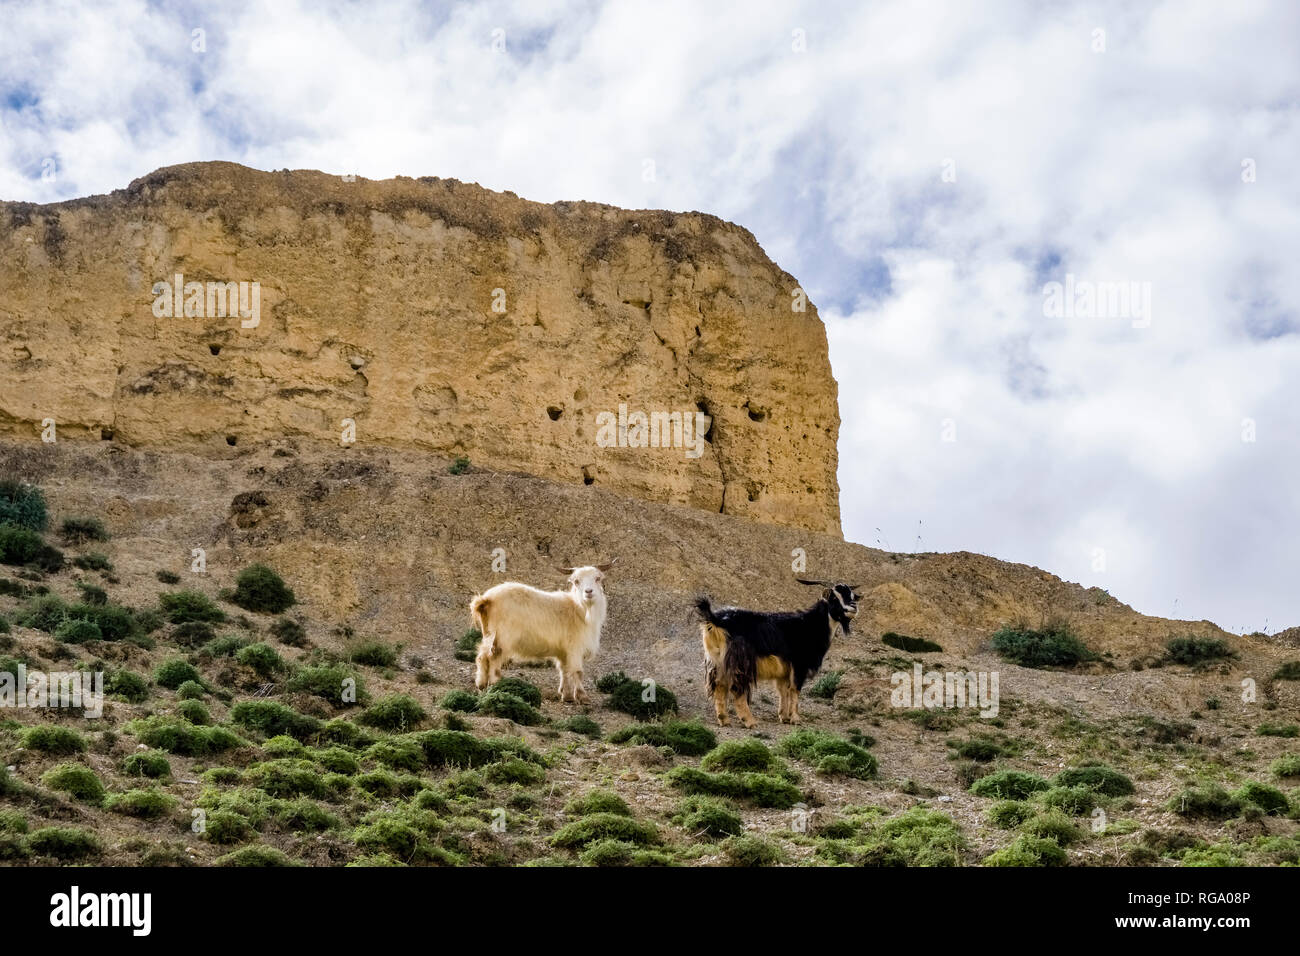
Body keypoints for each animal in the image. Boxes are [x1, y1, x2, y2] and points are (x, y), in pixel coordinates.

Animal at [467, 561, 613, 702]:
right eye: (576, 581)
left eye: (598, 578)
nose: (589, 592)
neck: (577, 609)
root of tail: (487, 599)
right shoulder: (575, 647)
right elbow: (577, 671)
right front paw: (583, 697)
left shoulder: (563, 651)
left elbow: (564, 670)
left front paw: (567, 696)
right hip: (503, 637)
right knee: (494, 656)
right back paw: (496, 684)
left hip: (488, 633)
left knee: (482, 656)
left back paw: (481, 685)